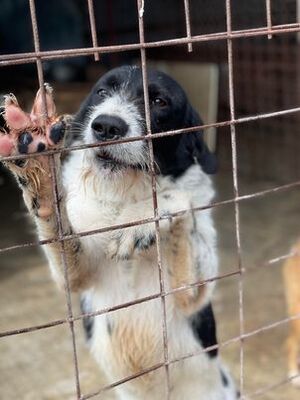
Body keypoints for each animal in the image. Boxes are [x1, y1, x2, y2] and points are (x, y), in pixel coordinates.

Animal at [0, 65, 237, 400]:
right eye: (102, 92)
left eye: (159, 101)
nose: (107, 126)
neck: (124, 192)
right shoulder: (78, 276)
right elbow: (58, 225)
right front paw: (40, 167)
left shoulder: (193, 294)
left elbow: (178, 198)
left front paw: (140, 220)